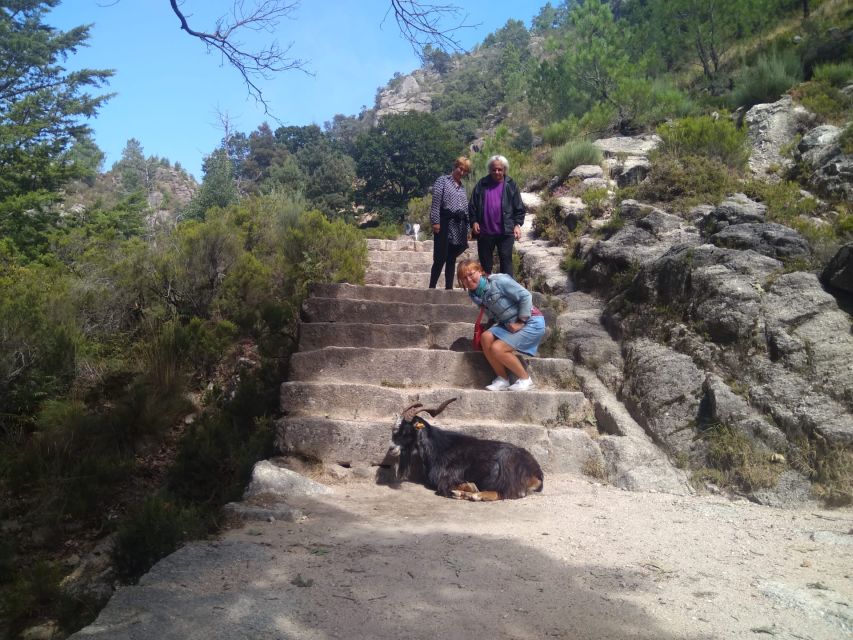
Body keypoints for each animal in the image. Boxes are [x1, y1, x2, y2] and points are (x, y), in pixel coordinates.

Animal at [384, 400, 540, 500]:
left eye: (406, 430)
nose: (391, 448)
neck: (438, 448)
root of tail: (536, 473)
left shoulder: (448, 476)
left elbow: (443, 487)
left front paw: (467, 489)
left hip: (506, 468)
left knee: (508, 493)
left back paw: (476, 495)